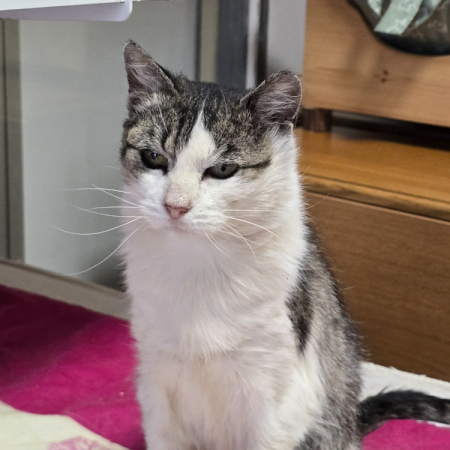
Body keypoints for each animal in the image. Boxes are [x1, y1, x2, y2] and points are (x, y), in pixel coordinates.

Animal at [120, 41, 450, 450]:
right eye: (153, 157)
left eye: (223, 170)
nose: (175, 206)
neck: (197, 264)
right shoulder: (155, 377)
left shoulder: (275, 394)